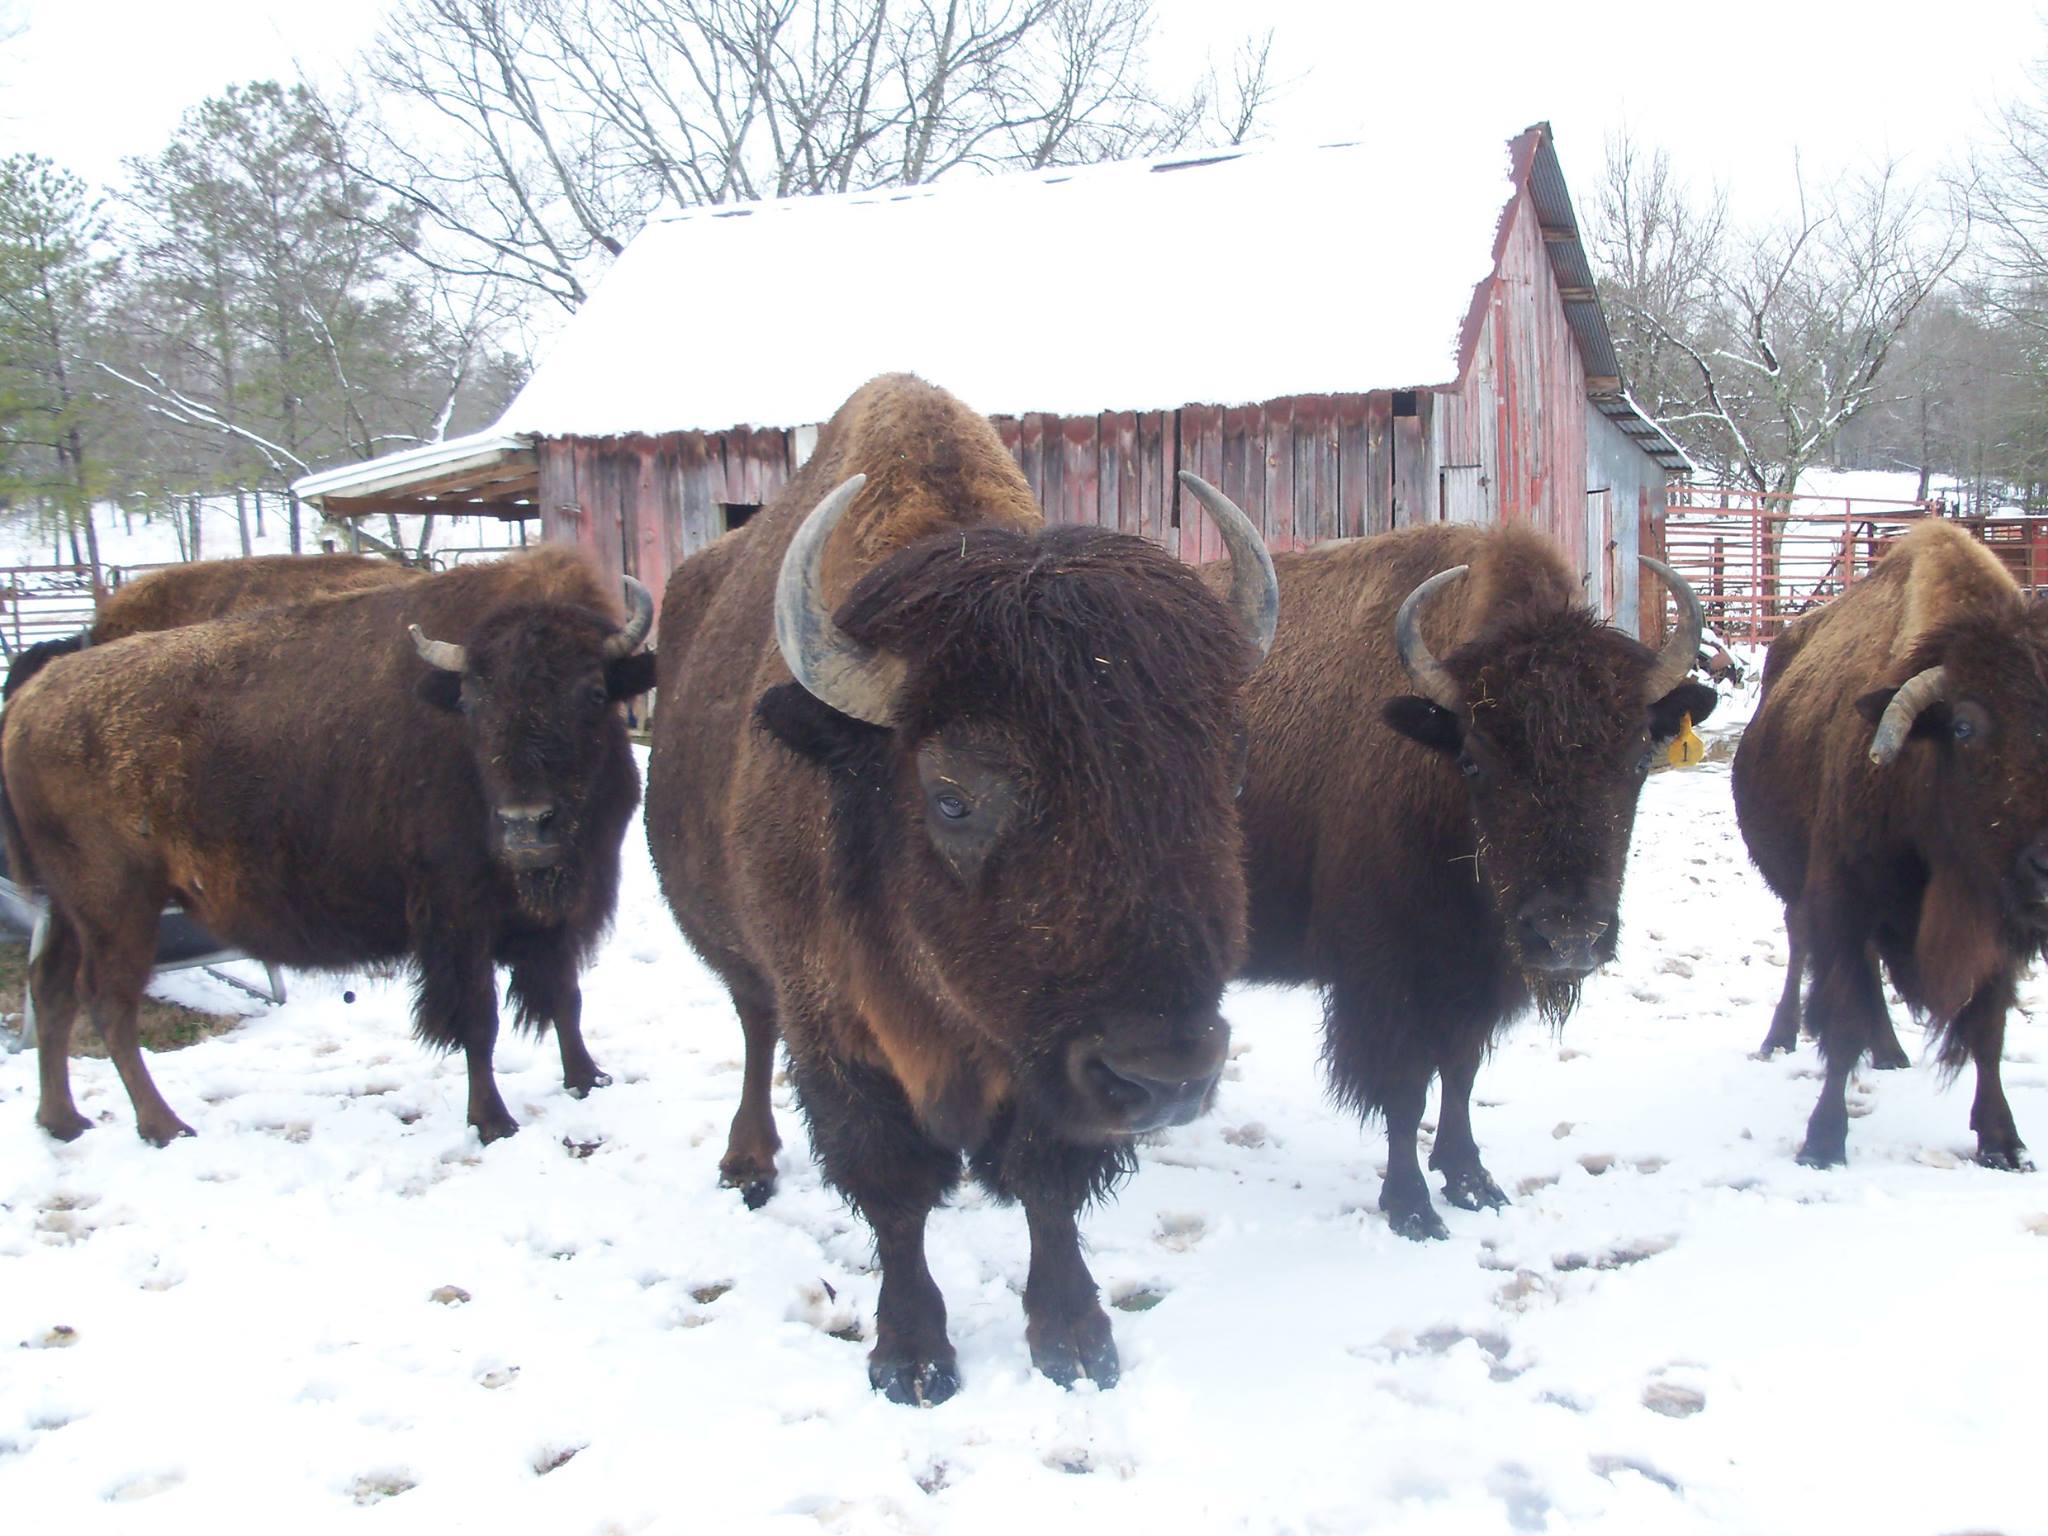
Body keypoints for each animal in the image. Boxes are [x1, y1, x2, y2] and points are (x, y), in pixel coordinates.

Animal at [647, 372, 1269, 1409]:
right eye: (953, 795)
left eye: (1224, 770)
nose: (1167, 1076)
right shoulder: (840, 1038)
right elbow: (894, 1193)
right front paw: (912, 1358)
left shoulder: (1046, 1065)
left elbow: (1048, 1187)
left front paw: (1075, 1341)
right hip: (733, 953)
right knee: (752, 1027)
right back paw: (748, 1164)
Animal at [1204, 528, 1720, 1236]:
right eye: (1475, 761)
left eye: (1640, 758)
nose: (1568, 937)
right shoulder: (1389, 977)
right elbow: (1405, 1087)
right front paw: (1412, 1208)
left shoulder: (1478, 976)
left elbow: (1460, 1073)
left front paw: (1473, 1182)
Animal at [1728, 524, 2048, 1171]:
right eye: (1964, 727)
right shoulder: (1842, 898)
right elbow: (1843, 1016)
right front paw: (1822, 1142)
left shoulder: (1997, 929)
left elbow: (1989, 1029)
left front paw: (2003, 1142)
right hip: (1796, 888)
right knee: (1800, 947)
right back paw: (1780, 1038)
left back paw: (1892, 1051)